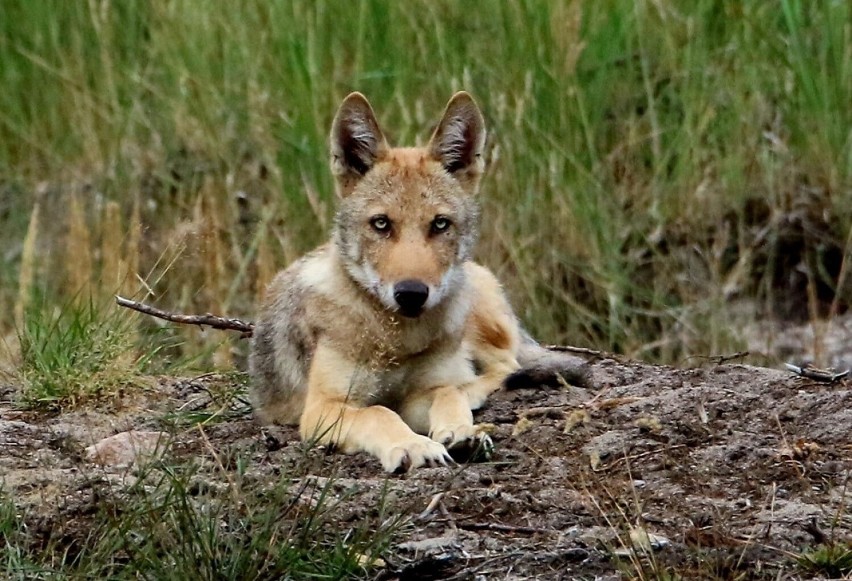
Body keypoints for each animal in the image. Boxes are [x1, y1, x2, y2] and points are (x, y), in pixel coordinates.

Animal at [250, 90, 588, 472]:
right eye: (381, 224)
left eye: (440, 224)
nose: (411, 293)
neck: (398, 340)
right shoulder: (324, 408)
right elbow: (379, 412)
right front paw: (413, 445)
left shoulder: (420, 395)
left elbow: (445, 395)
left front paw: (462, 432)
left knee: (502, 368)